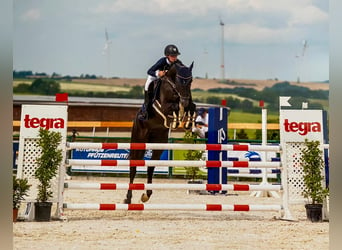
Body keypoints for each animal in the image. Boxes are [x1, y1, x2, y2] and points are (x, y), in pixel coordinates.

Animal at [124, 61, 196, 204]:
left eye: (190, 81)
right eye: (179, 80)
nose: (184, 101)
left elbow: (192, 107)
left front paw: (188, 122)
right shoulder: (164, 106)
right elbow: (173, 107)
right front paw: (176, 120)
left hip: (159, 142)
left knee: (151, 166)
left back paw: (146, 194)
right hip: (139, 140)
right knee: (133, 167)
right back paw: (128, 198)